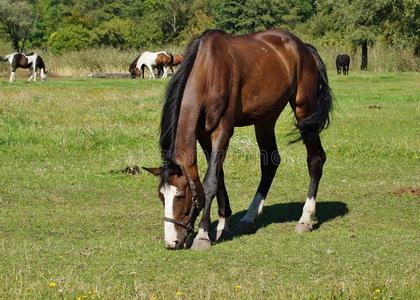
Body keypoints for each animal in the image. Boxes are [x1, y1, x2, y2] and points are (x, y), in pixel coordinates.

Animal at [143, 28, 334, 251]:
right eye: (161, 196)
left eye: (181, 195)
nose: (171, 242)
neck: (208, 70)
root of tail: (304, 48)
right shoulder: (203, 135)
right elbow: (219, 176)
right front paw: (223, 225)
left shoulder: (222, 131)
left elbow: (210, 182)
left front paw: (202, 235)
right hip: (265, 119)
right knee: (270, 162)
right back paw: (249, 218)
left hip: (305, 111)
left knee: (315, 159)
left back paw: (305, 218)